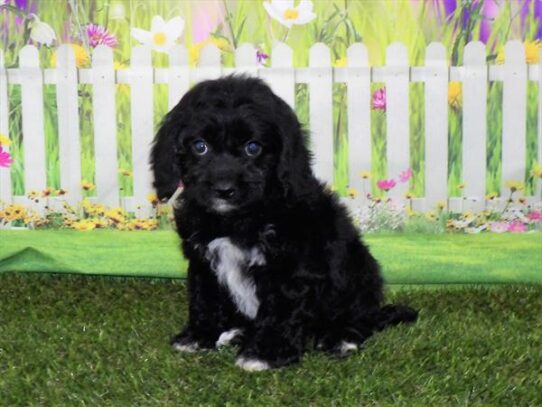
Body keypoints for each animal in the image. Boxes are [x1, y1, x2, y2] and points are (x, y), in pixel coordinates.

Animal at [151, 75, 418, 372]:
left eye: (253, 148)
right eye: (200, 146)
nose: (224, 189)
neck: (237, 220)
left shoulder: (291, 268)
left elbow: (281, 309)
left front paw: (264, 353)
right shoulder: (202, 259)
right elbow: (204, 297)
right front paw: (199, 336)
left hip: (360, 271)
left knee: (361, 316)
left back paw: (341, 337)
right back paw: (237, 332)